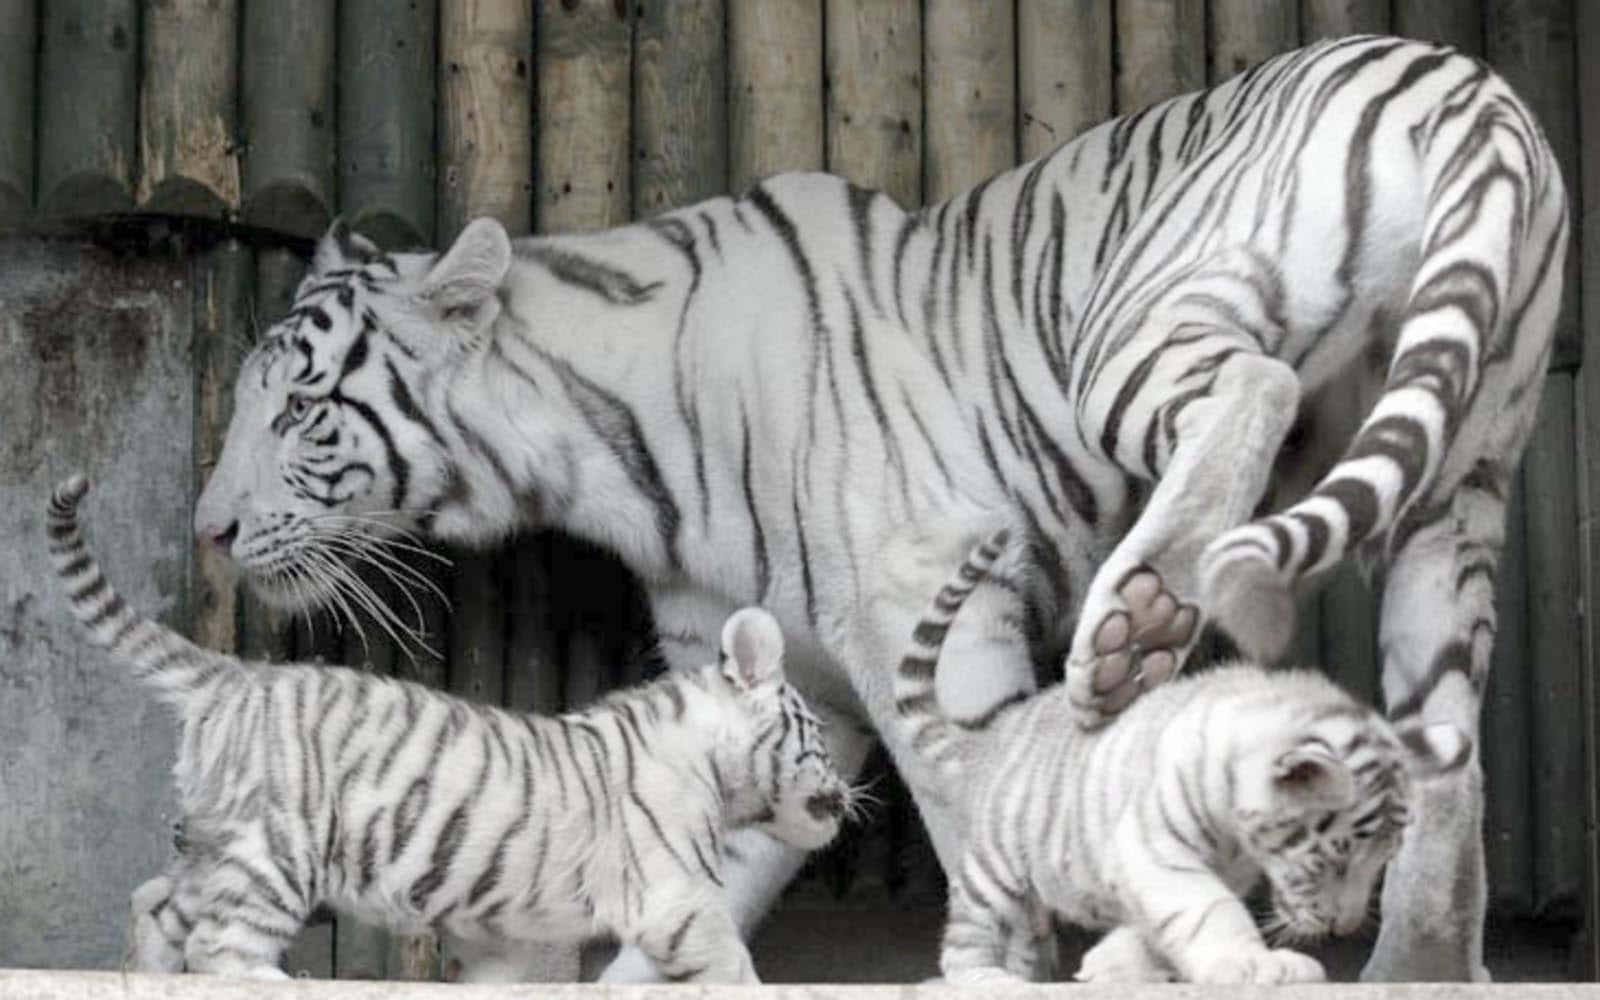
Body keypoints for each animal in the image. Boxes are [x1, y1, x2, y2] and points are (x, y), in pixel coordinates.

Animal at [47, 474, 849, 983]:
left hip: (218, 841)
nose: (848, 792)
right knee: (223, 942)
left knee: (158, 904)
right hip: (276, 846)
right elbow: (731, 962)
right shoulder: (674, 895)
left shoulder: (505, 928)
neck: (714, 766)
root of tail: (239, 675)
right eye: (816, 735)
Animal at [896, 529, 1472, 984]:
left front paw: (1112, 964)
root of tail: (997, 729)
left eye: (1382, 861)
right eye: (1334, 860)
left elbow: (1159, 926)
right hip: (996, 866)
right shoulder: (1156, 848)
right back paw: (988, 979)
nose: (1345, 926)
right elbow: (1207, 910)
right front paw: (1257, 964)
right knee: (969, 932)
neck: (1239, 838)